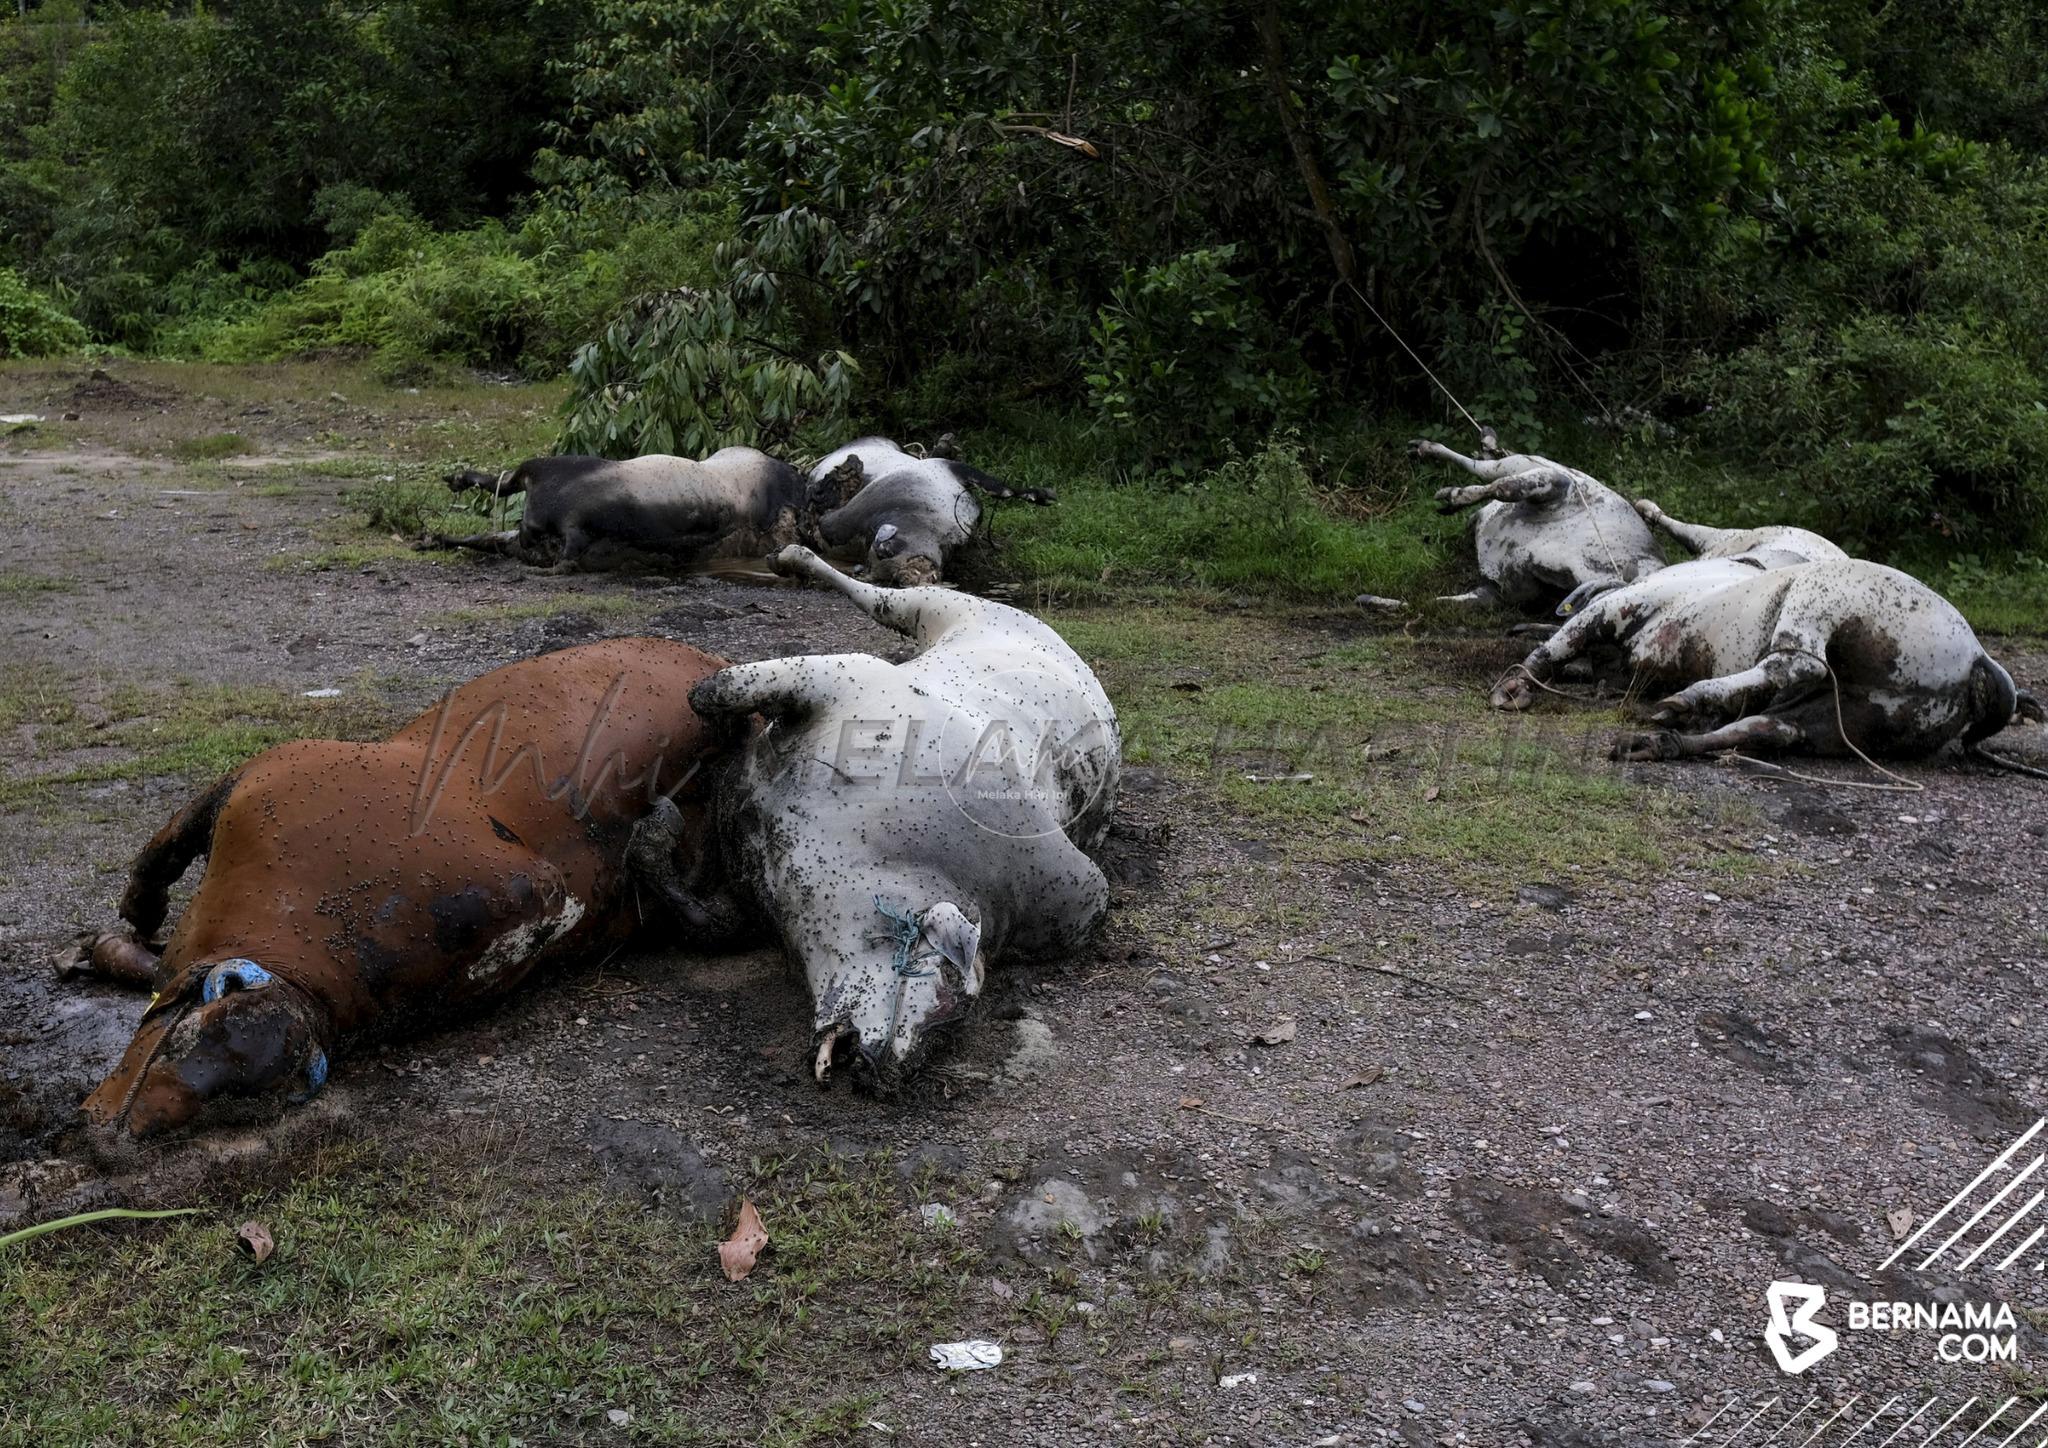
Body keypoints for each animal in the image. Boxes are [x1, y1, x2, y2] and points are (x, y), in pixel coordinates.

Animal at [1351, 436, 1671, 618]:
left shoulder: (1498, 590)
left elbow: (1434, 603)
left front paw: (1373, 600)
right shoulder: (1559, 484)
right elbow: (1505, 488)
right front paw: (1454, 494)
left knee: (1490, 464)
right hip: (1527, 464)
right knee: (1487, 467)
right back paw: (1429, 453)